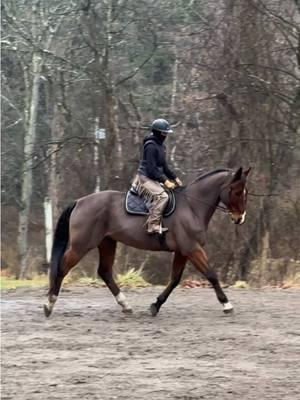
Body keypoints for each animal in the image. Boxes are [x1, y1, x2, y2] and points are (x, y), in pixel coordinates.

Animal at [44, 167, 251, 318]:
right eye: (236, 191)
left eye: (245, 192)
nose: (240, 218)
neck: (192, 207)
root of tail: (80, 201)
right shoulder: (192, 249)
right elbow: (211, 275)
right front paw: (226, 304)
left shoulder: (183, 252)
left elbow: (175, 279)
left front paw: (155, 305)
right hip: (81, 246)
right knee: (62, 269)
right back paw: (49, 304)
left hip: (107, 243)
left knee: (105, 272)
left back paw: (125, 305)